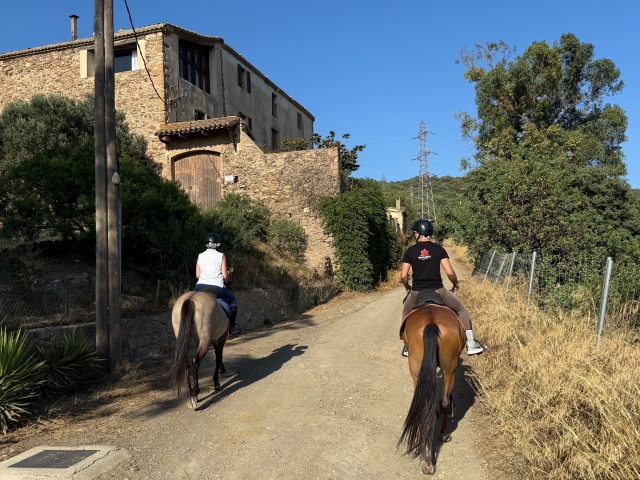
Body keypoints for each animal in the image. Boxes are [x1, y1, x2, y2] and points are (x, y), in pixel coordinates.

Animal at [397, 304, 466, 475]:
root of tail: (431, 324)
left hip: (417, 370)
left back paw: (427, 459)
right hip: (449, 369)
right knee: (444, 401)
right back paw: (444, 435)